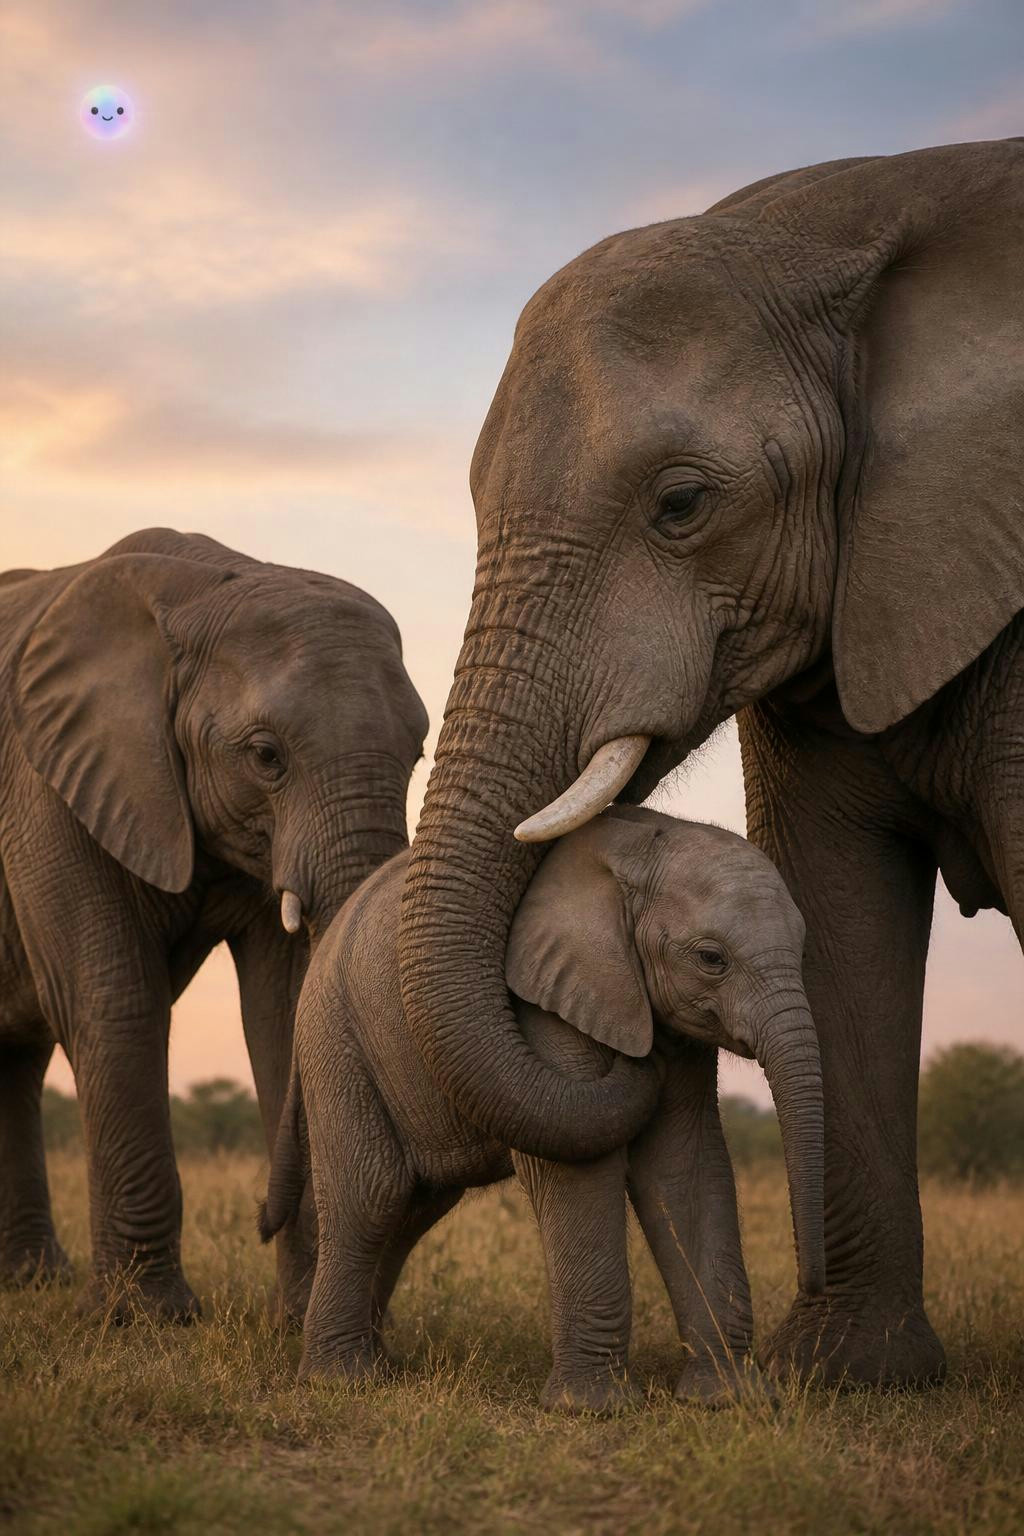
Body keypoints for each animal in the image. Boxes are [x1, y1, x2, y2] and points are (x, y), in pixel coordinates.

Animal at [0, 527, 427, 1320]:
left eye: (417, 753)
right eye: (266, 756)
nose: (262, 1220)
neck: (198, 591)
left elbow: (285, 1008)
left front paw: (301, 1319)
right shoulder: (47, 788)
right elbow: (112, 999)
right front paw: (144, 1321)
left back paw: (30, 1281)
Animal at [260, 806, 824, 1411]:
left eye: (803, 951)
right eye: (711, 959)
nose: (810, 1284)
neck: (639, 856)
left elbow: (683, 1168)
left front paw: (732, 1399)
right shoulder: (547, 1001)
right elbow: (580, 1170)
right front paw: (595, 1409)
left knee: (416, 1205)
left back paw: (382, 1364)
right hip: (337, 1038)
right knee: (373, 1194)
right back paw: (342, 1380)